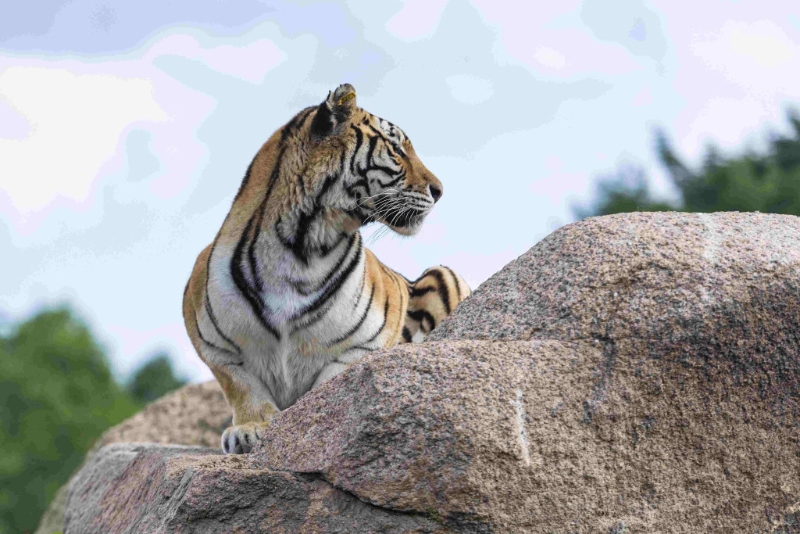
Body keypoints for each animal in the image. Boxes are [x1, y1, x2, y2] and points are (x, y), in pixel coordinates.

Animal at [182, 84, 470, 454]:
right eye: (396, 149)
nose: (440, 191)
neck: (300, 249)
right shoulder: (213, 344)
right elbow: (243, 387)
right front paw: (248, 429)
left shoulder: (365, 345)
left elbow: (328, 384)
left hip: (446, 274)